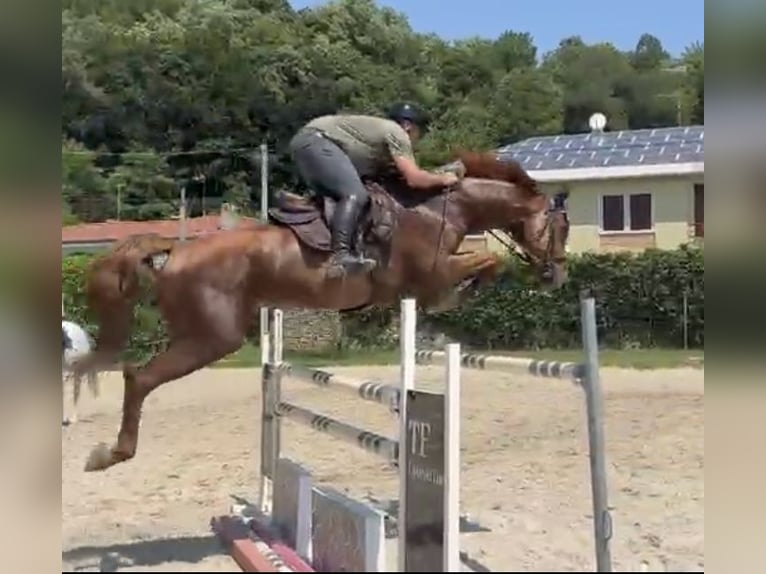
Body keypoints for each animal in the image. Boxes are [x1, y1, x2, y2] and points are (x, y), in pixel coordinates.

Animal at [72, 150, 570, 471]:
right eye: (561, 227)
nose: (558, 276)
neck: (442, 207)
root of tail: (174, 251)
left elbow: (488, 261)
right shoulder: (431, 274)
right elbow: (488, 261)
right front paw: (459, 296)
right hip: (212, 338)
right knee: (139, 377)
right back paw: (109, 455)